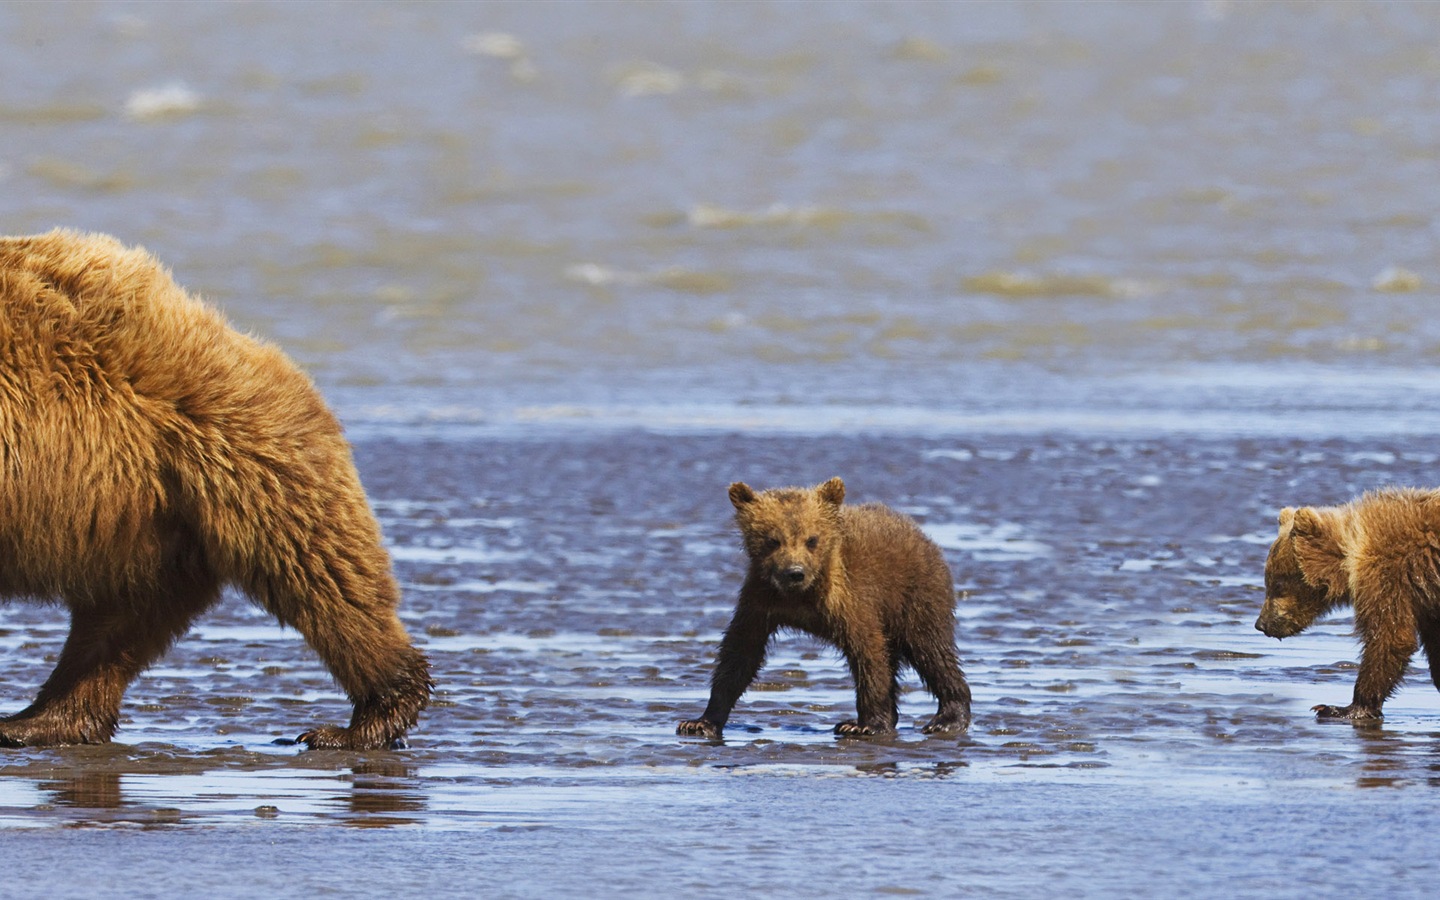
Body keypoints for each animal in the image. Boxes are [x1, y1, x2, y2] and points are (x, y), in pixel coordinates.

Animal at [0, 227, 426, 748]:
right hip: (144, 515)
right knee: (121, 618)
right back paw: (42, 718)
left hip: (230, 453)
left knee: (323, 575)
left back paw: (359, 720)